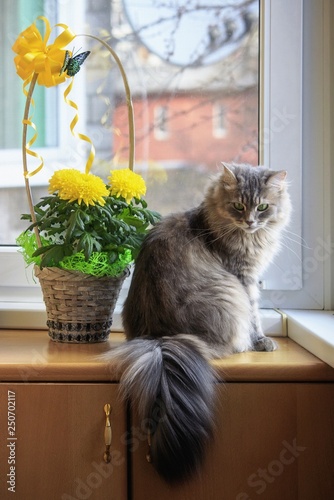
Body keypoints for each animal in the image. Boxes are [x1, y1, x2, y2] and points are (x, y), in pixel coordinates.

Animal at [105, 164, 290, 484]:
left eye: (263, 207)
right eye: (238, 206)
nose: (250, 222)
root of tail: (161, 338)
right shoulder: (244, 278)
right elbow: (255, 314)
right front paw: (262, 342)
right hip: (230, 294)